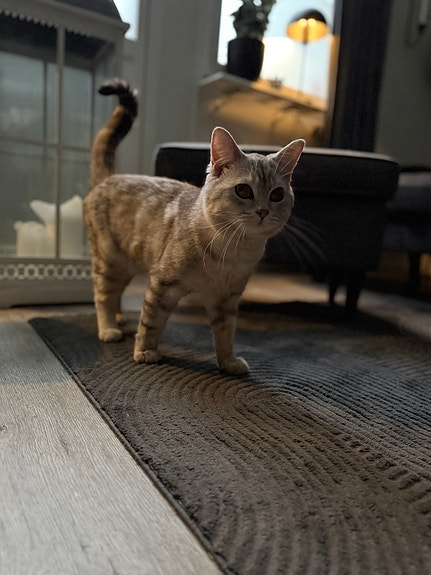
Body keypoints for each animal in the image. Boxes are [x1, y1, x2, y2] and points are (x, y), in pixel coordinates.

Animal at [84, 79, 304, 375]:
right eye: (243, 190)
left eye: (278, 194)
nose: (262, 211)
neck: (231, 251)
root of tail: (109, 178)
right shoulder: (162, 283)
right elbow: (151, 321)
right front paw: (145, 351)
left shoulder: (227, 299)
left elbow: (225, 334)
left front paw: (229, 362)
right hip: (108, 260)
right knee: (103, 296)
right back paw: (108, 327)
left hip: (126, 264)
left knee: (116, 293)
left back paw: (118, 318)